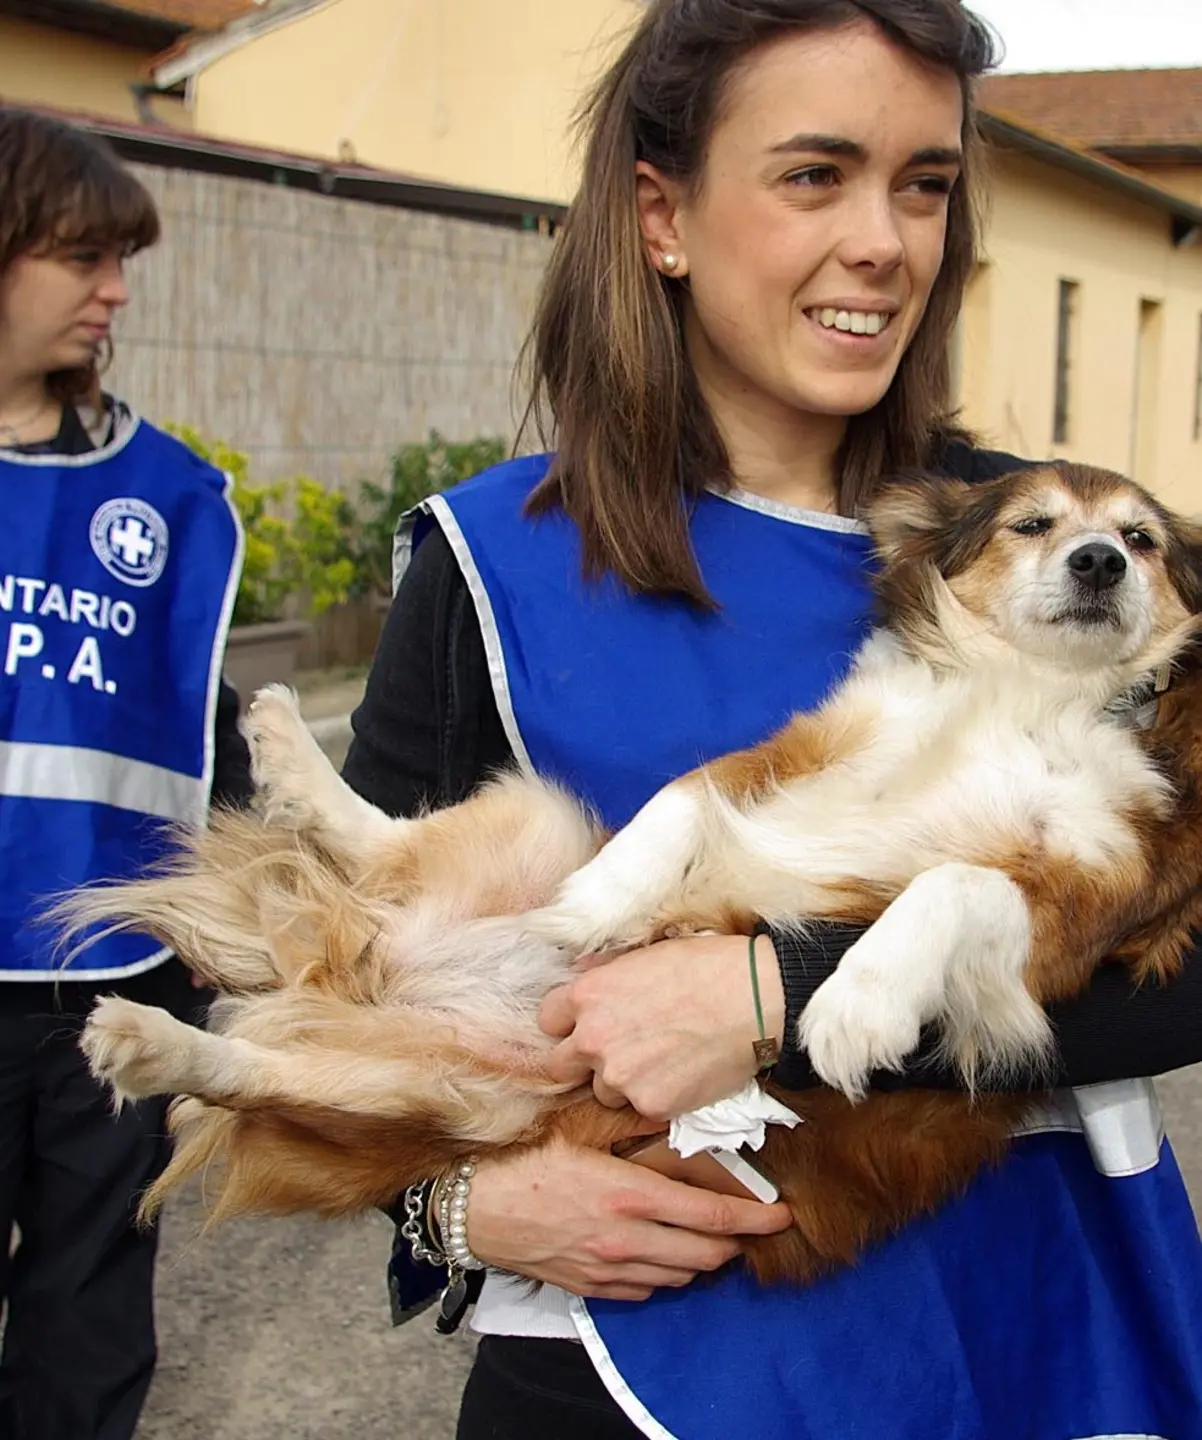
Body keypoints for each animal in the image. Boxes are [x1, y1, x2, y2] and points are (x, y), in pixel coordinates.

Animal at [58, 463, 1202, 1284]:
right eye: (1034, 525)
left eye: (1141, 541)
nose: (1099, 562)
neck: (1019, 695)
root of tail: (390, 974)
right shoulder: (798, 751)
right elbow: (683, 798)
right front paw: (602, 899)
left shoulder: (1077, 909)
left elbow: (954, 884)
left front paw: (855, 1004)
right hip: (533, 822)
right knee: (377, 853)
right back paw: (286, 762)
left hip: (460, 1099)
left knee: (261, 1070)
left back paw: (152, 1041)